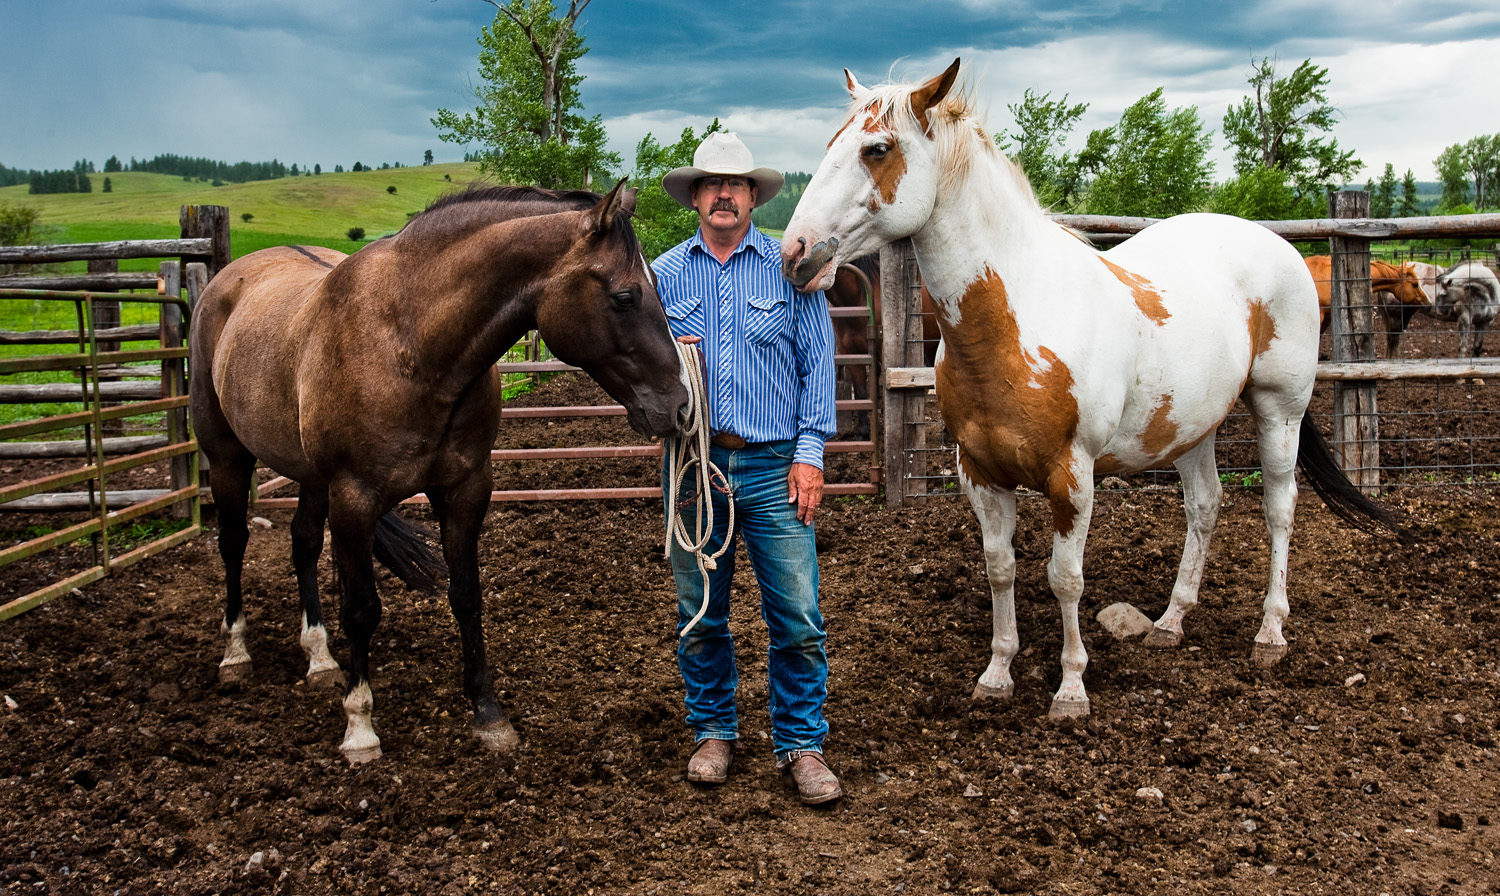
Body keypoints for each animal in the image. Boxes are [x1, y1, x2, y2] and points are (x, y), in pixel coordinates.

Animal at [186, 180, 690, 762]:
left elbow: (466, 594)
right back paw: (236, 654)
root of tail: (225, 279)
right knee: (233, 542)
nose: (680, 406)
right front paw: (360, 725)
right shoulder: (354, 499)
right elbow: (361, 608)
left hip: (309, 477)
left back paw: (320, 658)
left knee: (304, 544)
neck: (412, 345)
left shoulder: (465, 489)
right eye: (625, 296)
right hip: (228, 457)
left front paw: (488, 713)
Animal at [780, 59, 1398, 720]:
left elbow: (1065, 577)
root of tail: (1278, 245)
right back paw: (1170, 622)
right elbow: (1000, 569)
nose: (796, 253)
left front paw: (1071, 689)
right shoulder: (979, 471)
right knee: (1205, 507)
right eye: (830, 144)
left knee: (1280, 509)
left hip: (1280, 409)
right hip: (1192, 426)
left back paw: (1270, 632)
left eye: (877, 148)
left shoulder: (1070, 474)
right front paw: (997, 673)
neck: (1017, 320)